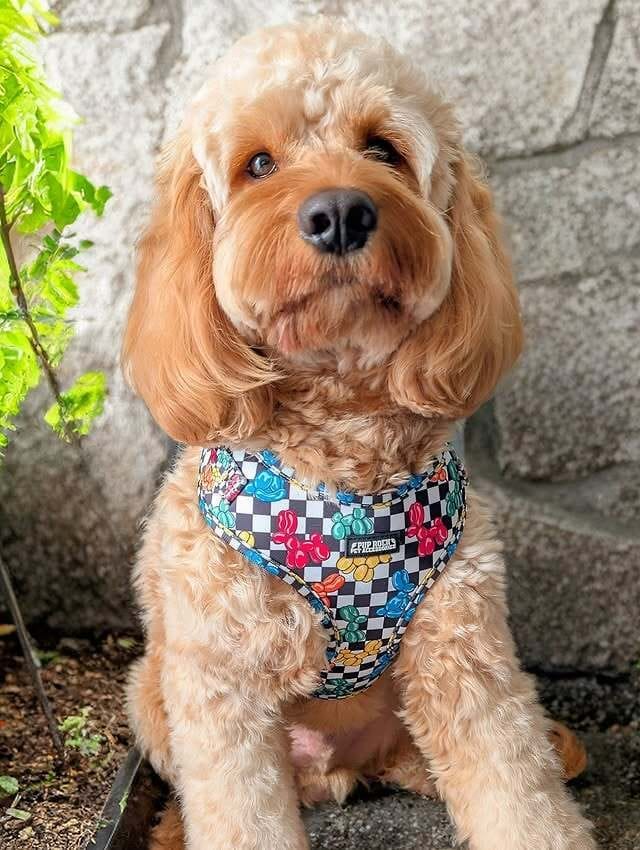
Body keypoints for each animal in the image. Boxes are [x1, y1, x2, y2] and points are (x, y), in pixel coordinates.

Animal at [122, 18, 596, 850]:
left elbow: (517, 788)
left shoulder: (466, 652)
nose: (340, 212)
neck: (342, 470)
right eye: (257, 164)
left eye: (383, 149)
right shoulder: (223, 683)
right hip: (151, 690)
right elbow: (240, 813)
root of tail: (337, 771)